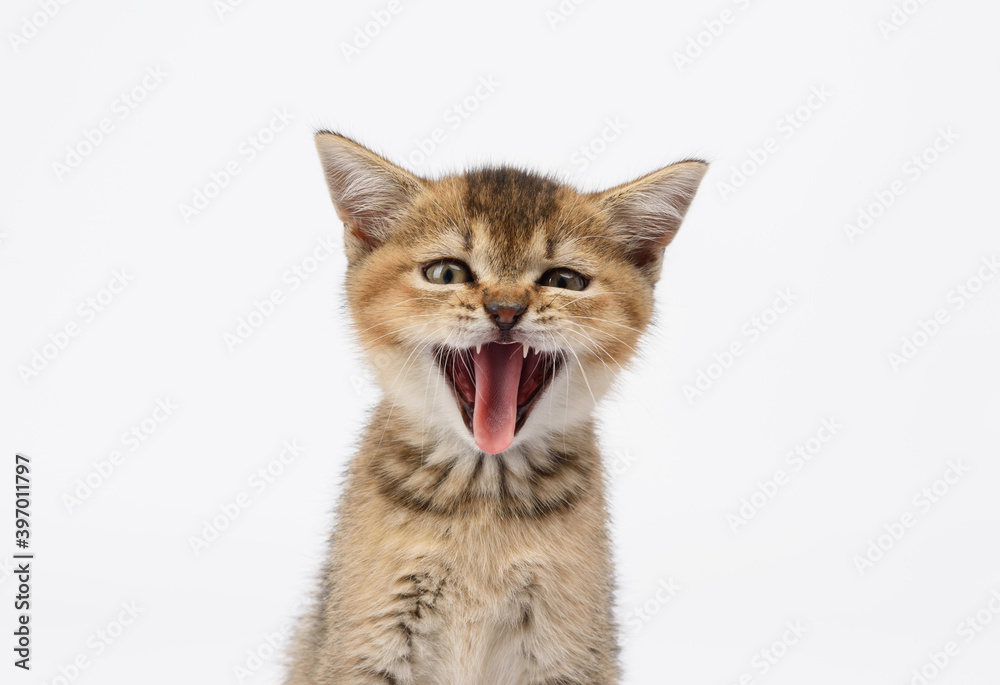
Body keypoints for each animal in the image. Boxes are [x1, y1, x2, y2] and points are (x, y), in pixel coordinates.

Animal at [286, 131, 708, 680]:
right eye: (446, 272)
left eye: (565, 281)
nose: (505, 310)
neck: (484, 489)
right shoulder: (365, 646)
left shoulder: (568, 648)